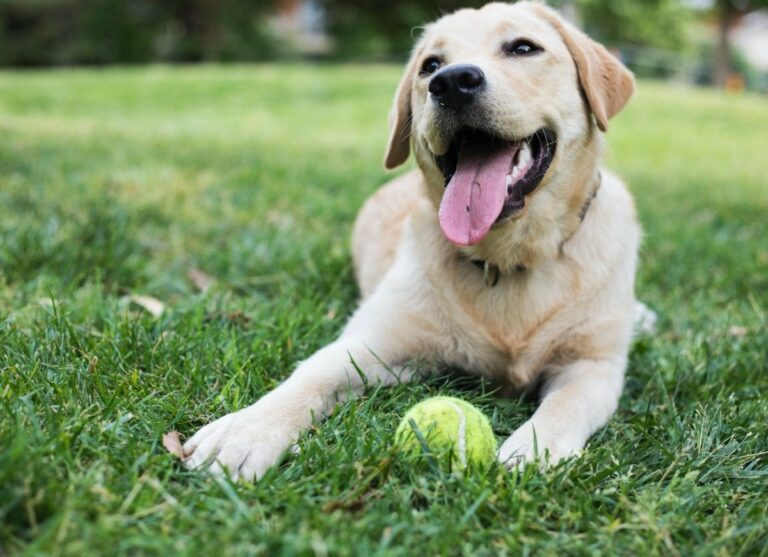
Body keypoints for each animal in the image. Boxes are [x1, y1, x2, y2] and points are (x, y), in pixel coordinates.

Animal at [182, 0, 640, 480]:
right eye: (430, 66)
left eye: (522, 47)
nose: (452, 82)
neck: (506, 257)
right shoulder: (378, 343)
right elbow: (313, 373)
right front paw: (247, 430)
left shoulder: (594, 365)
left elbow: (567, 404)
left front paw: (535, 448)